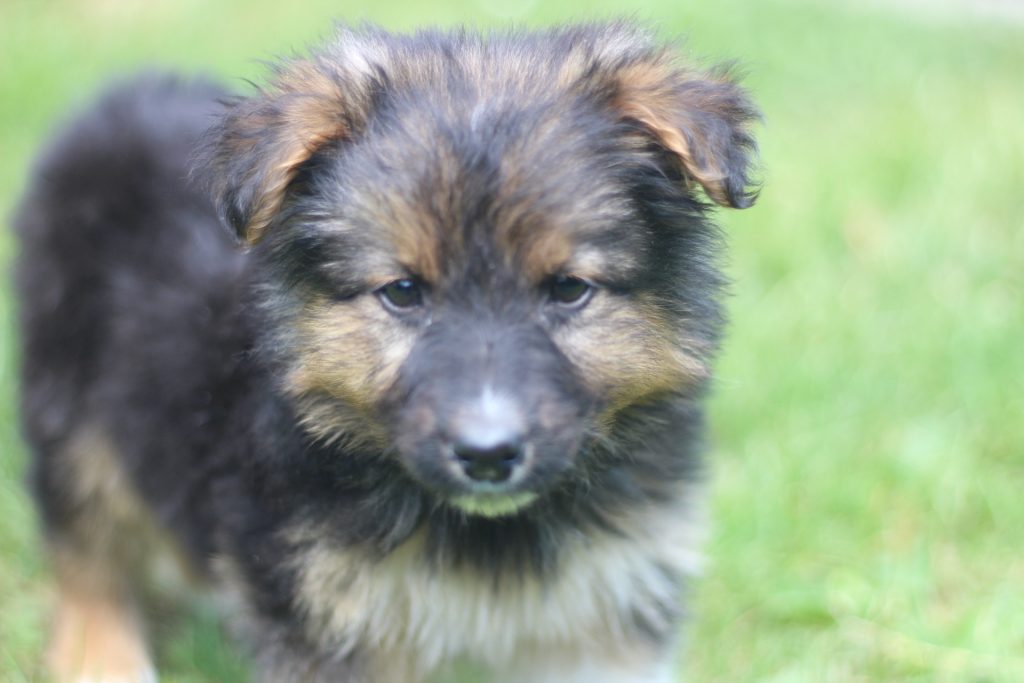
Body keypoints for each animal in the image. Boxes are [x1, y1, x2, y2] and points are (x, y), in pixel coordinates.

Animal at [14, 22, 759, 683]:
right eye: (403, 291)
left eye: (569, 289)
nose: (487, 455)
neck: (484, 535)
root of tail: (120, 99)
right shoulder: (324, 615)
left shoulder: (604, 607)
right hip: (70, 410)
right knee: (85, 549)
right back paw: (100, 656)